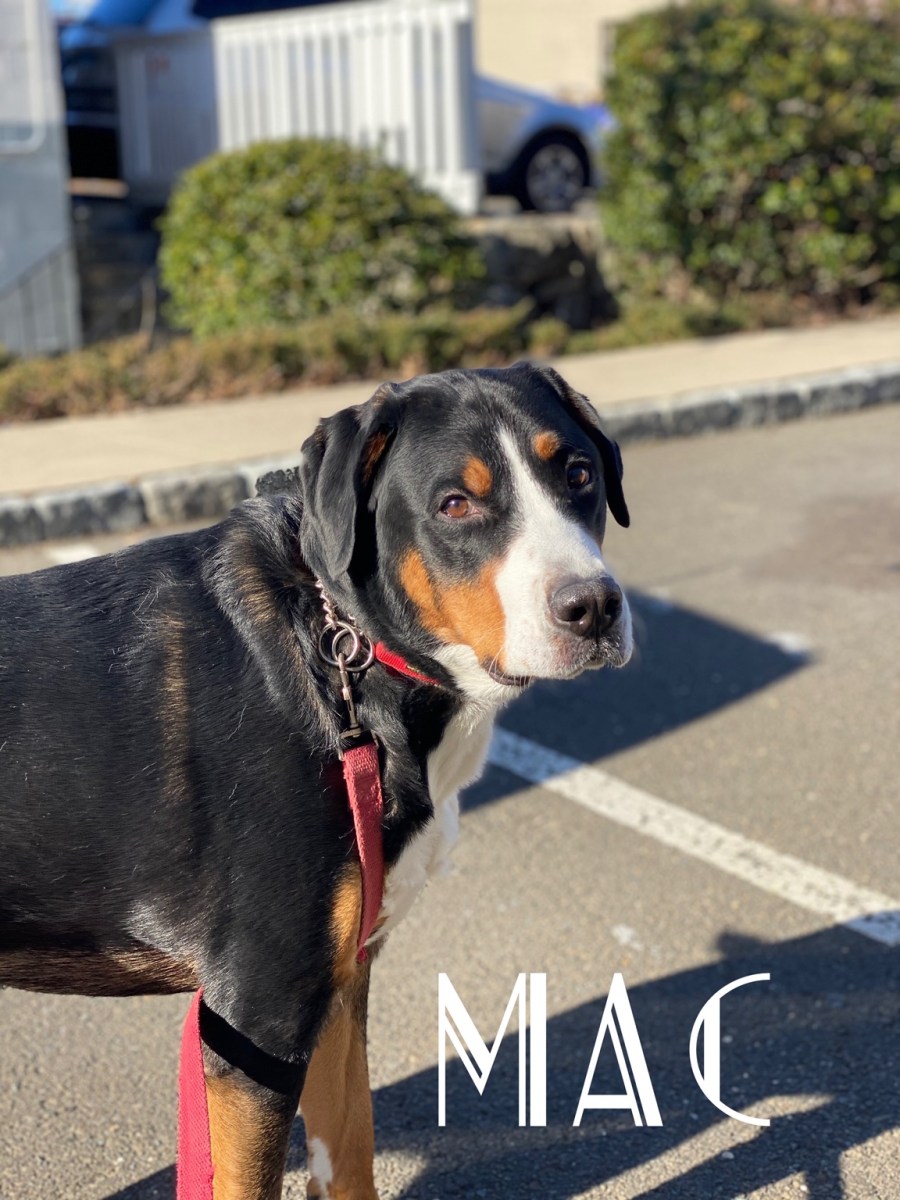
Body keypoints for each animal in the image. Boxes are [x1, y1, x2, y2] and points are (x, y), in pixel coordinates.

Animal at [0, 362, 631, 1199]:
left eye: (579, 475)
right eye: (454, 504)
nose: (592, 607)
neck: (343, 663)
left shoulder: (335, 985)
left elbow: (351, 1149)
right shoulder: (256, 1018)